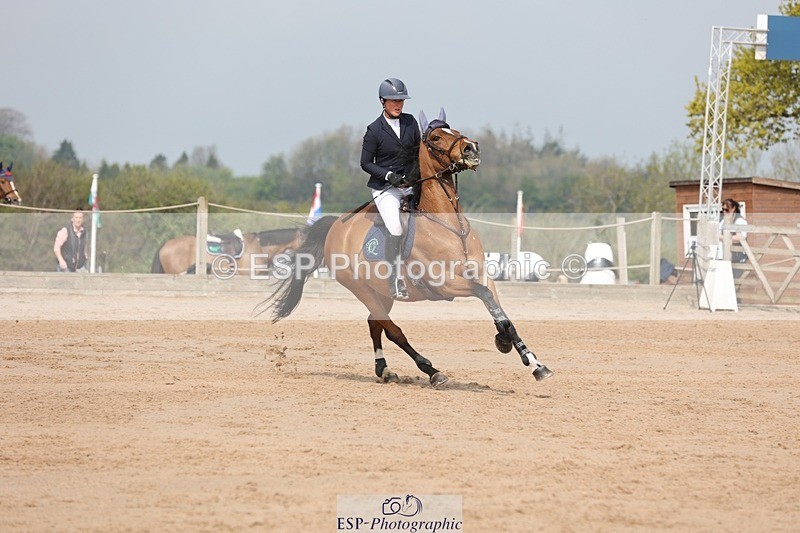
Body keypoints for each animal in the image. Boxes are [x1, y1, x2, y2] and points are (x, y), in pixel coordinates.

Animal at [261, 109, 553, 386]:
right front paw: (504, 343)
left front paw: (533, 362)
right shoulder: (446, 283)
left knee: (374, 323)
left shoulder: (482, 275)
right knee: (393, 331)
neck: (450, 226)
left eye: (454, 130)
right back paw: (432, 371)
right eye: (436, 137)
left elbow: (500, 312)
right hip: (362, 289)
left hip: (382, 293)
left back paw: (385, 370)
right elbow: (485, 296)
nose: (472, 148)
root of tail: (335, 228)